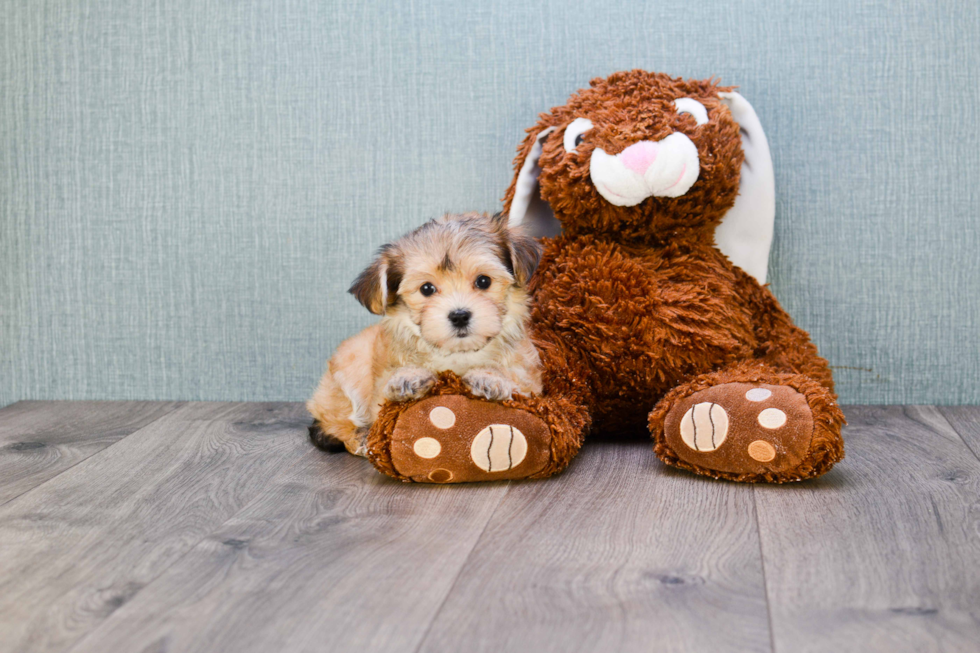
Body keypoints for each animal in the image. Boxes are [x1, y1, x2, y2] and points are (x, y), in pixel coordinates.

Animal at [304, 211, 540, 456]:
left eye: (483, 281)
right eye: (427, 289)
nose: (459, 316)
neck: (457, 353)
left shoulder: (532, 381)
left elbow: (517, 379)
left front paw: (489, 376)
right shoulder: (379, 392)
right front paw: (409, 376)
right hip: (347, 371)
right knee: (337, 421)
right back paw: (360, 439)